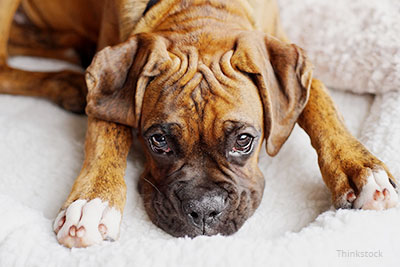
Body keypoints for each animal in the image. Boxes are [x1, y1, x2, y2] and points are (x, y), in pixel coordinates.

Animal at [0, 0, 396, 249]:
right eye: (158, 140)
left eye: (244, 140)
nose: (204, 211)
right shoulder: (110, 83)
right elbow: (107, 133)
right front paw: (93, 202)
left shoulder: (290, 58)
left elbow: (321, 106)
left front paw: (360, 169)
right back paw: (65, 82)